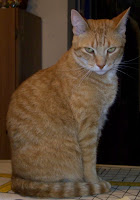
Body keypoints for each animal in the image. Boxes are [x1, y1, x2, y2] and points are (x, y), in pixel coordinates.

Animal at [6, 8, 129, 198]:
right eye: (89, 50)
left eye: (111, 49)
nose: (101, 65)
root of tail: (15, 177)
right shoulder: (88, 126)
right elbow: (89, 161)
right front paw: (94, 182)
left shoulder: (99, 122)